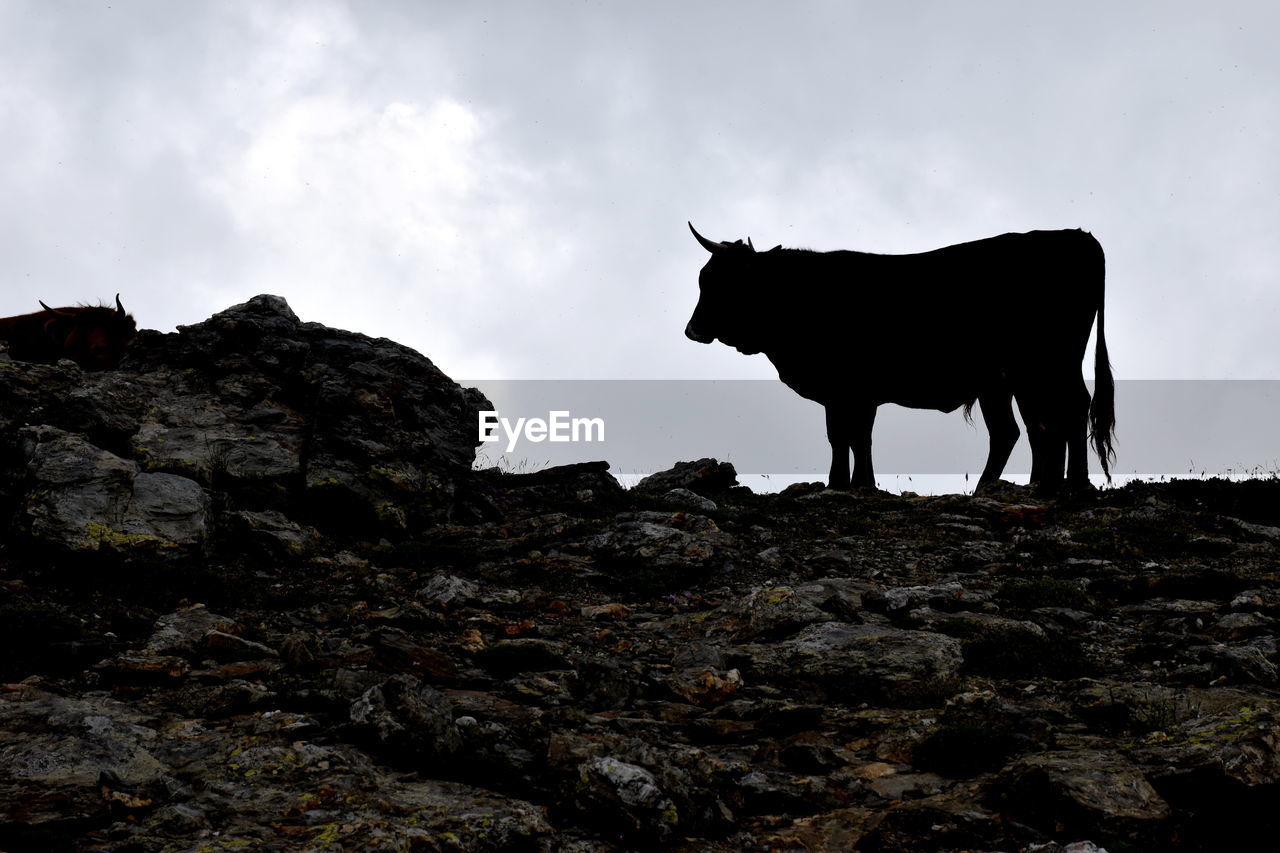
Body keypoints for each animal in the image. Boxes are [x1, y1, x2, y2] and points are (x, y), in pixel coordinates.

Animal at [686, 220, 1116, 491]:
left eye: (719, 281)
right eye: (704, 277)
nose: (692, 330)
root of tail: (1079, 237)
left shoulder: (848, 389)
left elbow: (846, 436)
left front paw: (843, 485)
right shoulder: (852, 394)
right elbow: (852, 438)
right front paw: (855, 484)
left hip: (1049, 363)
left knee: (1069, 409)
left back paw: (1073, 484)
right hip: (1011, 380)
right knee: (1025, 428)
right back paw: (1026, 486)